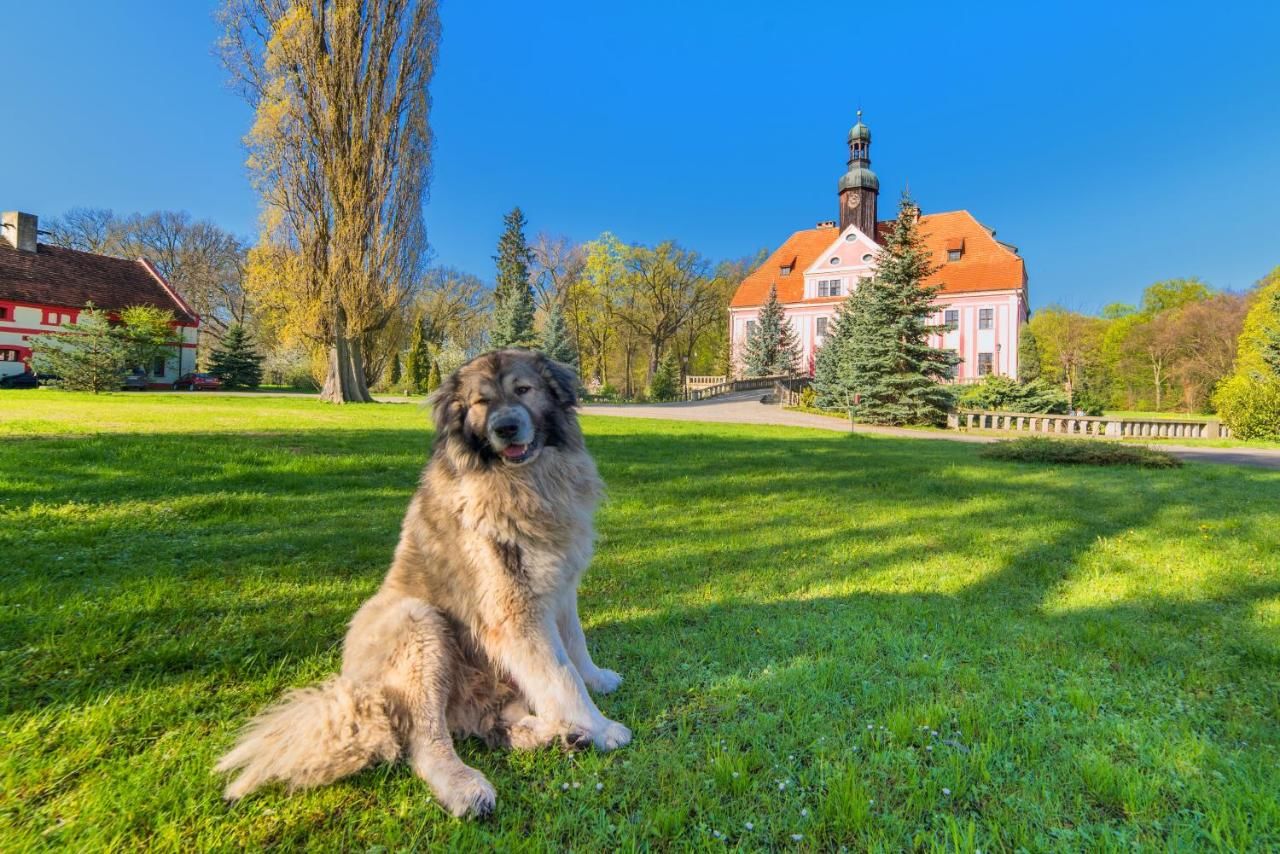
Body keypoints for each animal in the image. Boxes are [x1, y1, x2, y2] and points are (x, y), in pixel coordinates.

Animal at [217, 350, 632, 819]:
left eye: (524, 390)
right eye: (481, 402)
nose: (506, 427)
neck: (526, 481)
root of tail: (362, 698)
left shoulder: (561, 588)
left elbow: (576, 647)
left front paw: (596, 683)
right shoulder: (517, 610)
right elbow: (561, 675)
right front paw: (599, 726)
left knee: (495, 726)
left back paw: (555, 734)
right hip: (418, 624)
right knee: (425, 741)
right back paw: (467, 787)